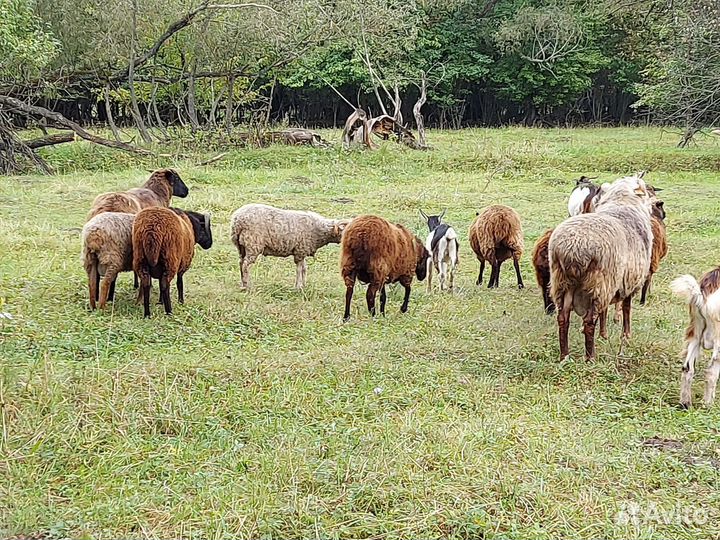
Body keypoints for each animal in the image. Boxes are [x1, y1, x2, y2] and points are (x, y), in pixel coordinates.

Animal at [549, 174, 653, 360]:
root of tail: (573, 248)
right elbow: (626, 308)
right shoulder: (630, 280)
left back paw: (564, 356)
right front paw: (626, 336)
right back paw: (590, 357)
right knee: (589, 321)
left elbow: (605, 312)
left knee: (563, 318)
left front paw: (604, 335)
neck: (623, 203)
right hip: (599, 283)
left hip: (563, 283)